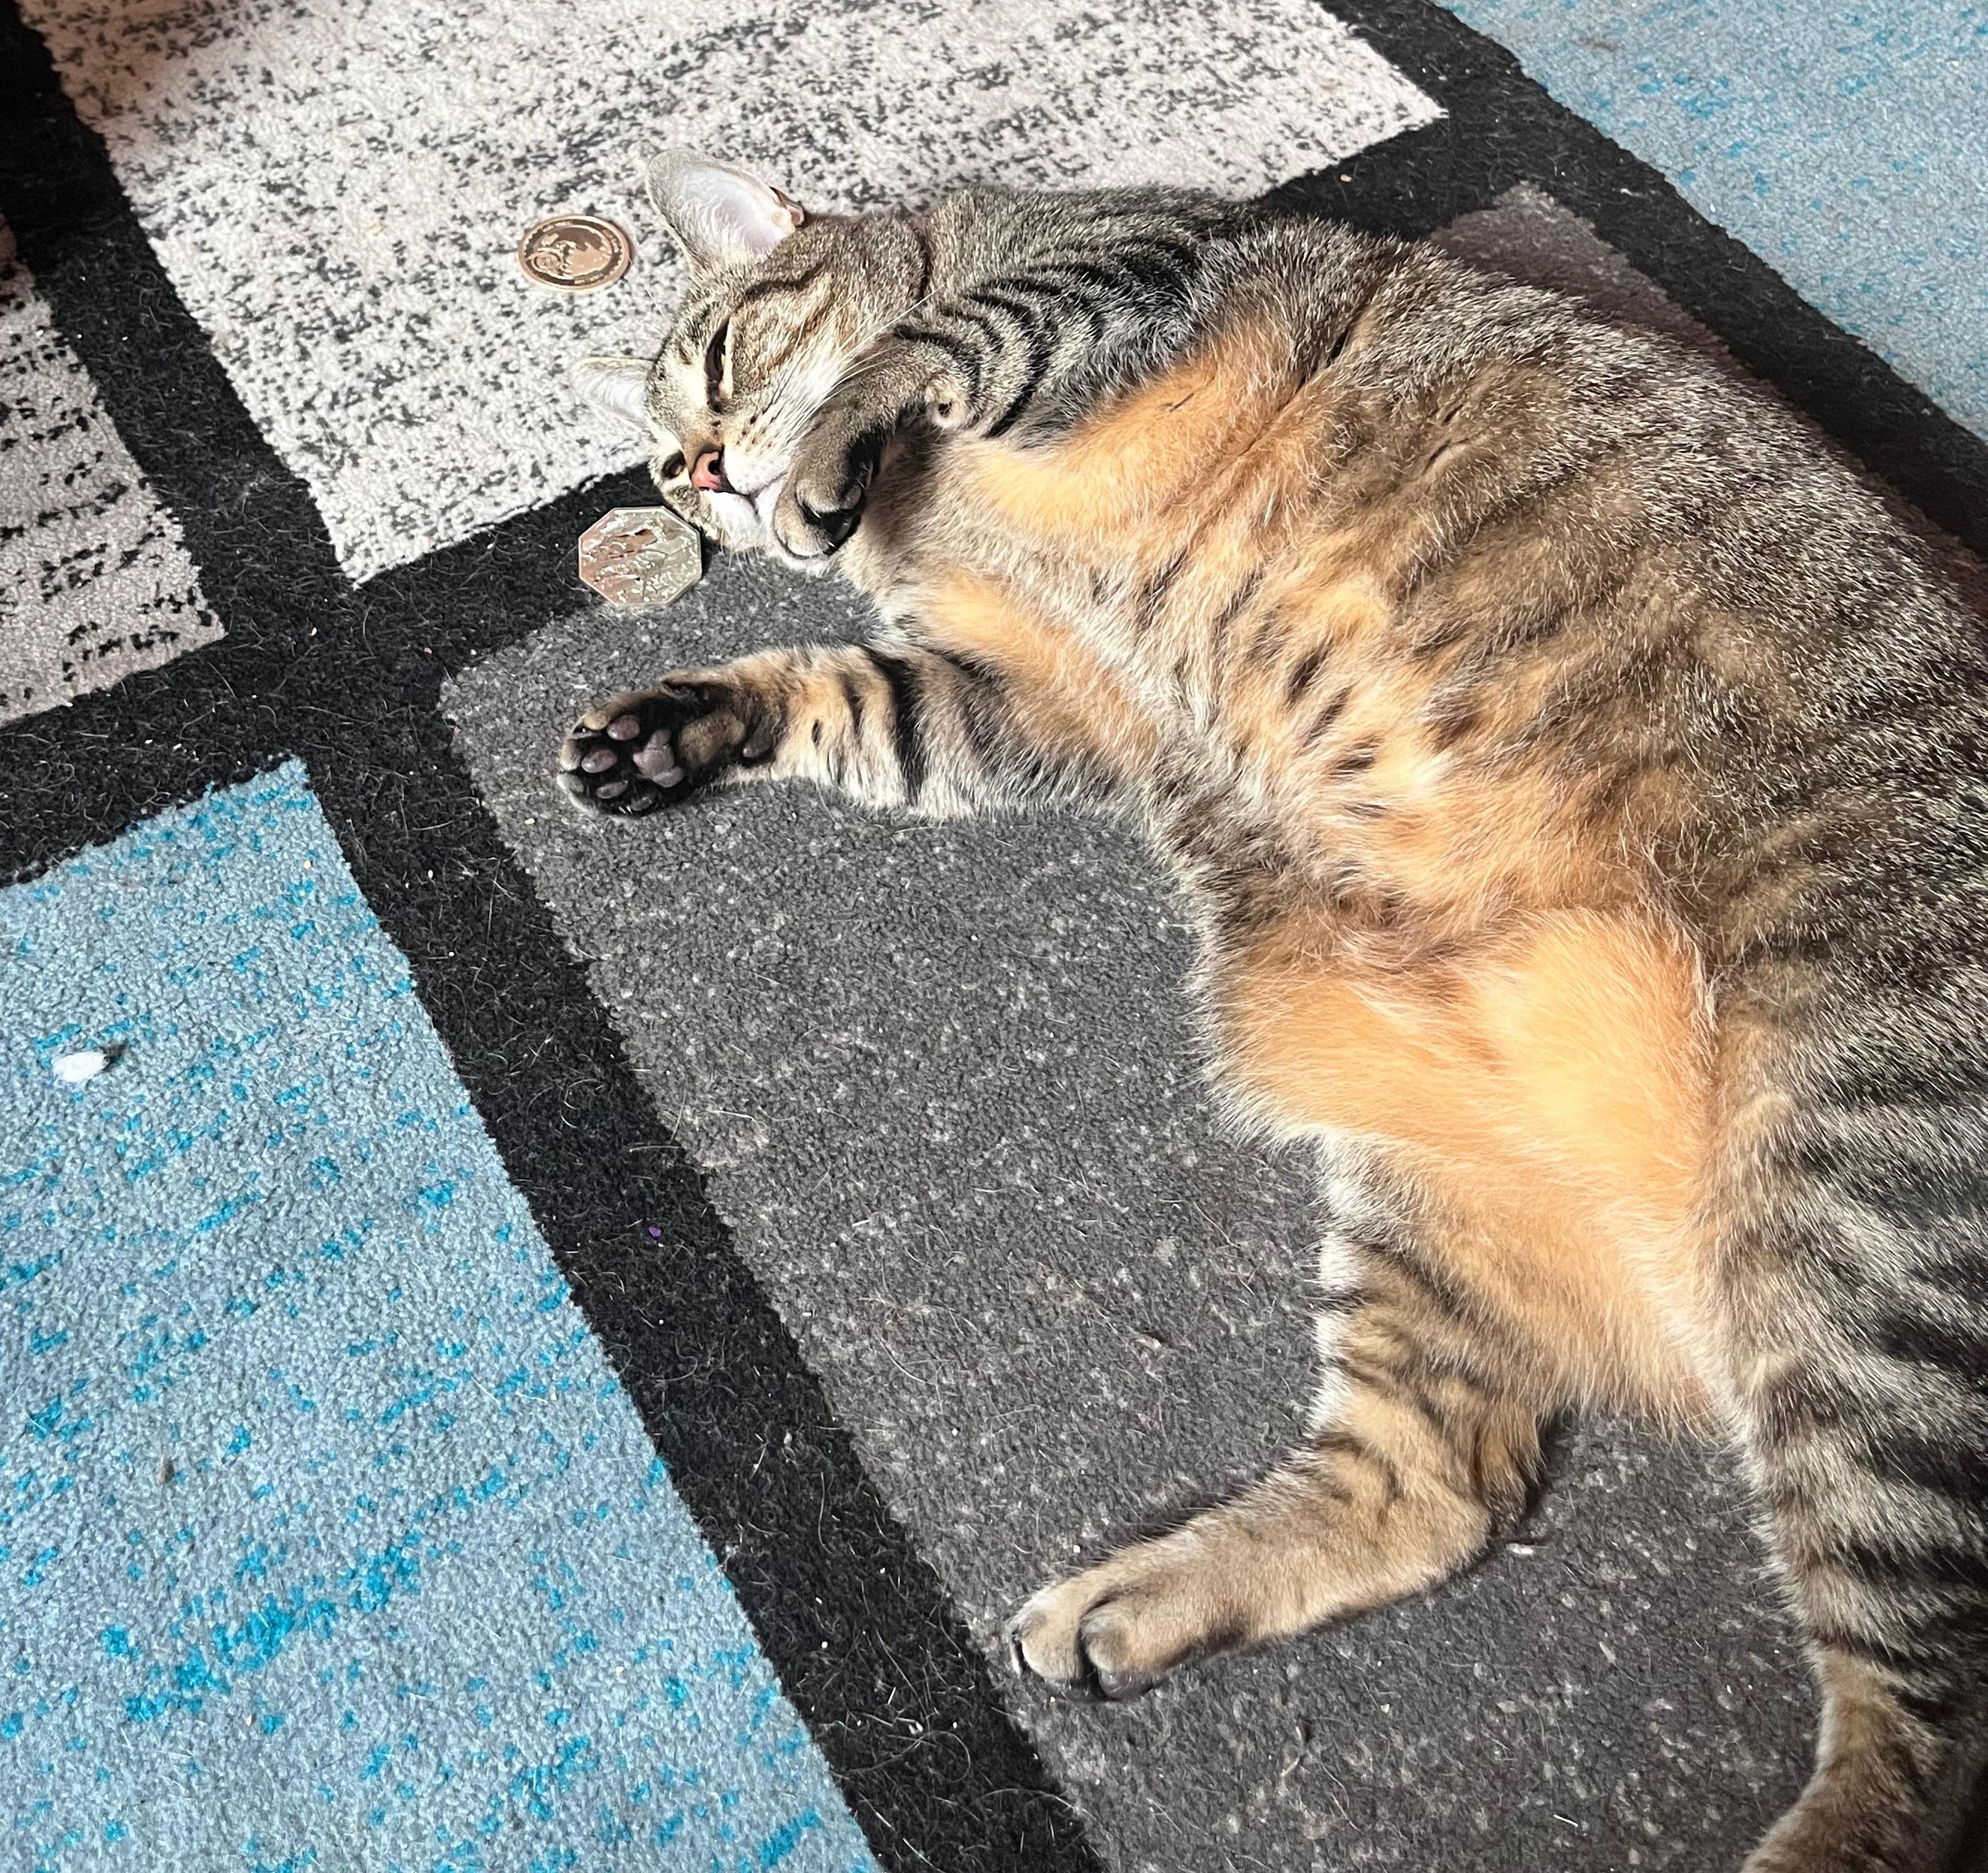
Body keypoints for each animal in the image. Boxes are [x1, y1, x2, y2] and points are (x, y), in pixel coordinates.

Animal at [563, 148, 1988, 1871]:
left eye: (715, 364)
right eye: (657, 460)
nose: (703, 473)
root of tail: (1693, 1308)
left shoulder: (1123, 270)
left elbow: (928, 344)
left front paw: (830, 445)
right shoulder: (1018, 696)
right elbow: (844, 694)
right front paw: (680, 723)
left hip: (1851, 1229)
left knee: (1927, 1731)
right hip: (1432, 1205)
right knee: (1433, 1493)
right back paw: (1140, 1597)